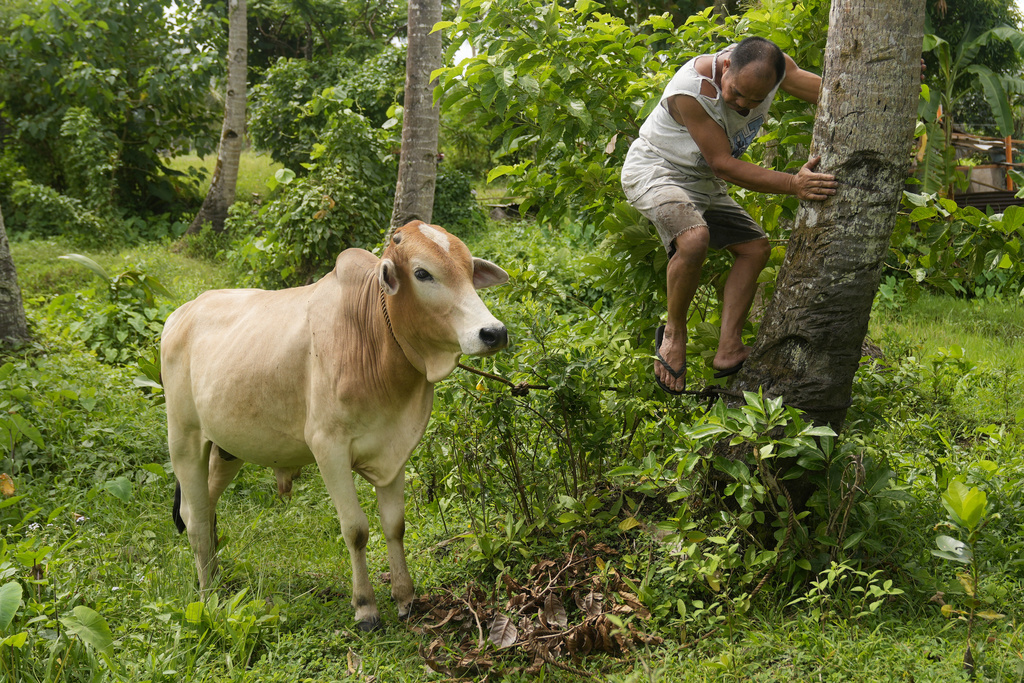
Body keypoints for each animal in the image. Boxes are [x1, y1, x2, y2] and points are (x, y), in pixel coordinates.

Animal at [161, 223, 509, 630]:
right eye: (422, 273)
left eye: (469, 270)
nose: (493, 332)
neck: (374, 335)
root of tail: (180, 314)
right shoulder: (329, 449)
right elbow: (356, 529)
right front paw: (366, 608)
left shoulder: (395, 449)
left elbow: (395, 524)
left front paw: (405, 598)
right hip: (184, 439)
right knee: (195, 520)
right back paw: (207, 595)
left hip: (227, 449)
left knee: (205, 508)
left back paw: (217, 577)